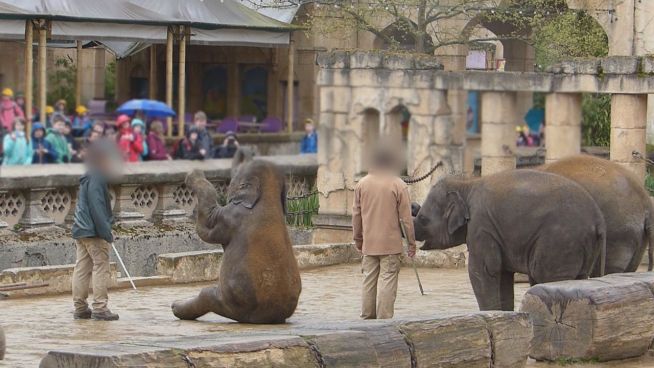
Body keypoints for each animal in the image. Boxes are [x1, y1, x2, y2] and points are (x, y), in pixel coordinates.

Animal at [416, 170, 608, 310]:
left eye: (423, 219)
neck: (467, 184)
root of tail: (599, 220)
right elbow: (503, 275)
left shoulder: (482, 227)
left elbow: (483, 271)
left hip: (561, 242)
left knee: (547, 276)